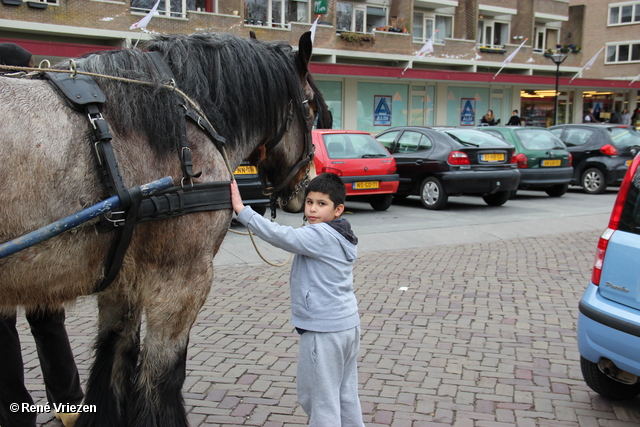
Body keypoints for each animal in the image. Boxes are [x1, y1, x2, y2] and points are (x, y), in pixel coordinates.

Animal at [0, 31, 318, 426]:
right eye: (314, 108)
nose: (306, 188)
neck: (191, 122)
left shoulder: (123, 278)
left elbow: (113, 357)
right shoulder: (182, 279)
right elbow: (163, 375)